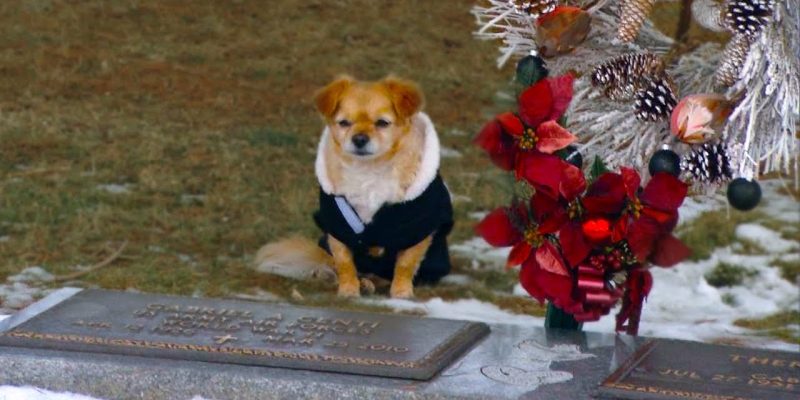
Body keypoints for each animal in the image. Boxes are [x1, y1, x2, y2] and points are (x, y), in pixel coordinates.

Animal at [255, 76, 453, 298]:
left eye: (382, 123)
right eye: (344, 123)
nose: (359, 138)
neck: (368, 170)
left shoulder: (417, 228)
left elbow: (405, 264)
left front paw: (401, 292)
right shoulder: (337, 226)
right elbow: (344, 263)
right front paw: (348, 290)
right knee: (335, 266)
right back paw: (350, 280)